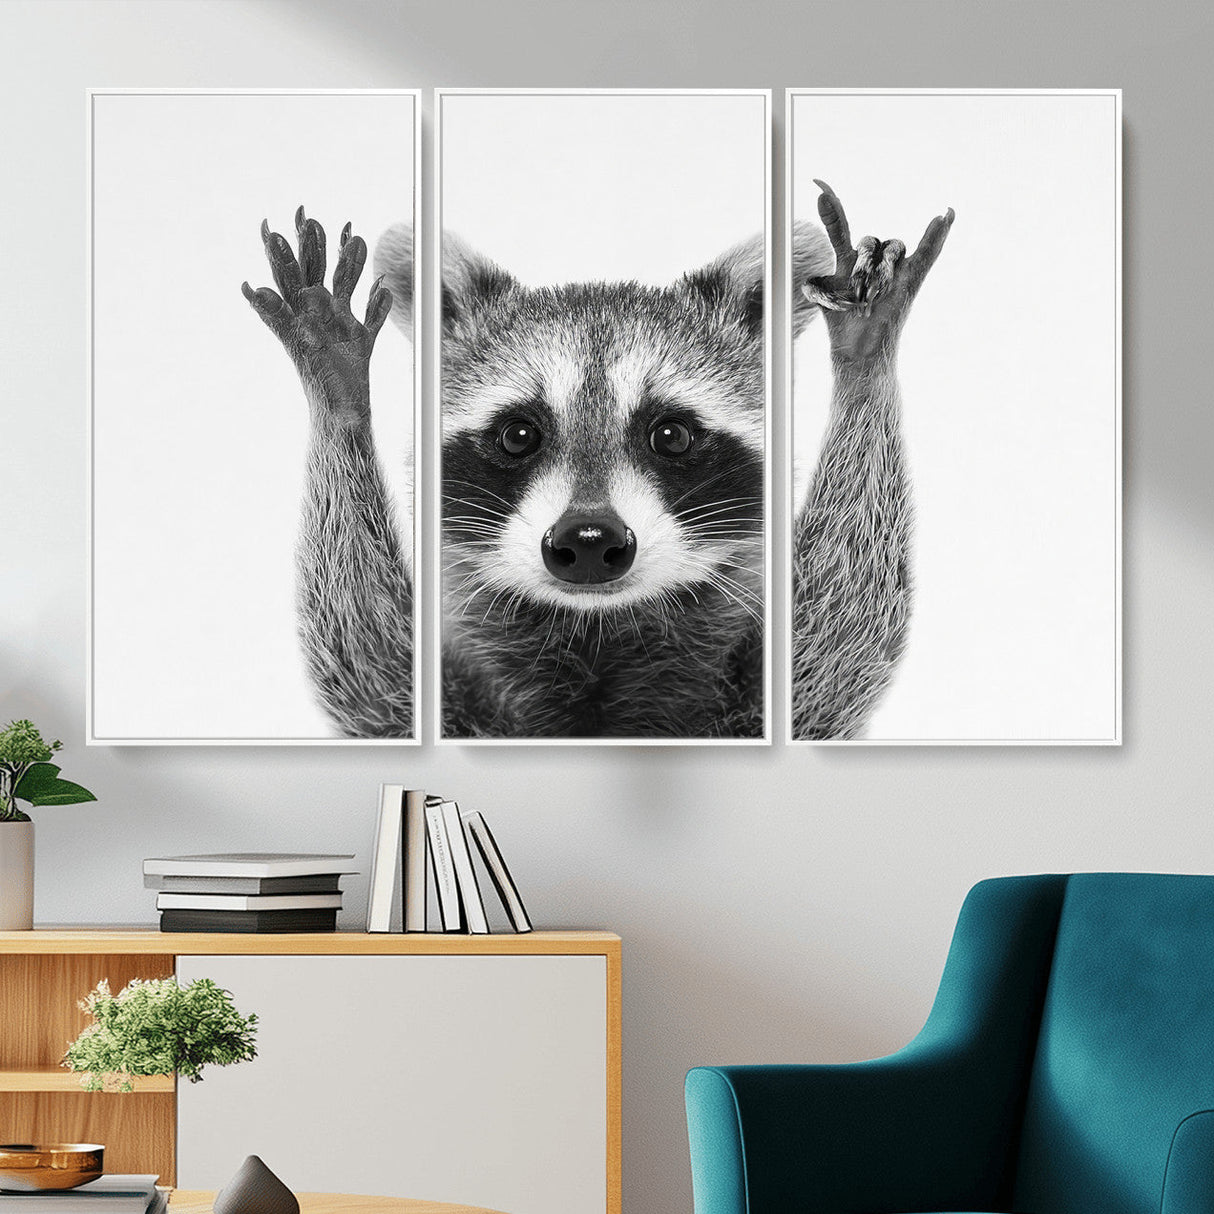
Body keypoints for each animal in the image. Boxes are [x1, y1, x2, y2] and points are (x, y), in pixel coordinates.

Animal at [242, 184, 951, 740]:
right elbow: (369, 669)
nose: (588, 540)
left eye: (672, 436)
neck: (596, 634)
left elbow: (839, 639)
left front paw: (864, 358)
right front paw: (338, 389)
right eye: (518, 435)